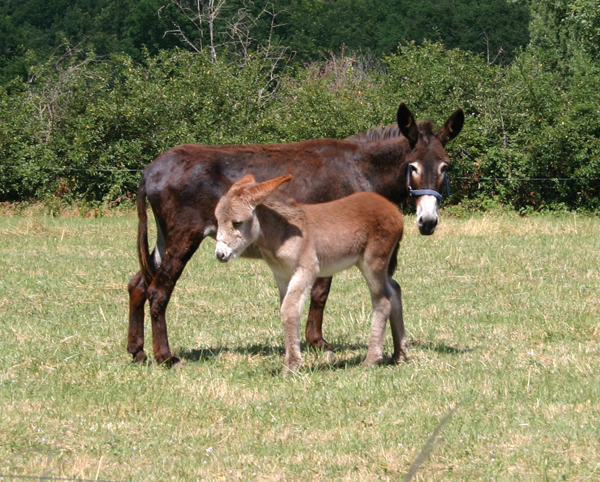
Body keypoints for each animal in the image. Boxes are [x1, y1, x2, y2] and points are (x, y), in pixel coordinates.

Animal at [213, 173, 406, 372]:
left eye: (237, 223)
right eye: (218, 221)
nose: (220, 255)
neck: (282, 234)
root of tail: (391, 208)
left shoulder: (307, 270)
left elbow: (289, 310)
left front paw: (291, 366)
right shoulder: (282, 275)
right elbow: (286, 309)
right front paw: (292, 358)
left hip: (373, 262)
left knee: (382, 300)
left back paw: (372, 359)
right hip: (373, 264)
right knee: (394, 289)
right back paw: (399, 354)